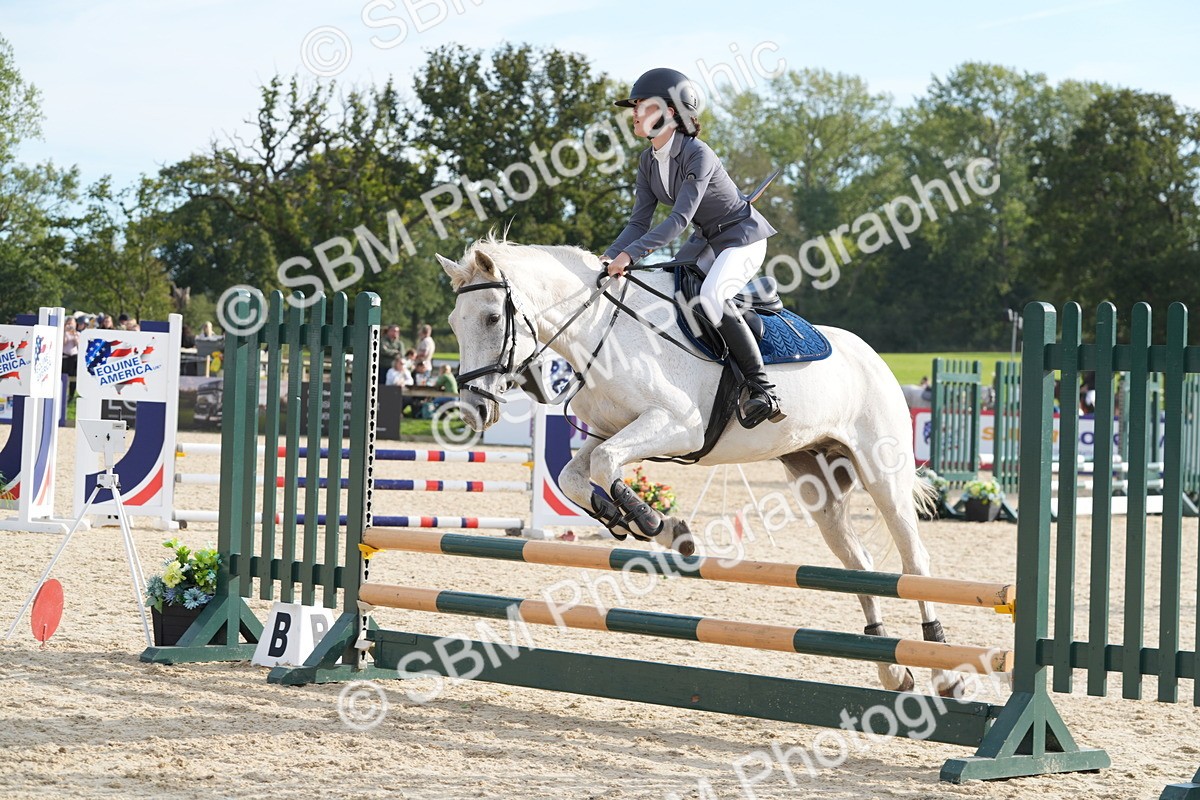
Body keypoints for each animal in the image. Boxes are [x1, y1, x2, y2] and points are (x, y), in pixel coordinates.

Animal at [437, 236, 956, 694]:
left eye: (491, 317)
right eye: (454, 323)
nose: (474, 410)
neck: (602, 328)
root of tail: (875, 359)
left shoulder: (677, 424)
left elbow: (604, 464)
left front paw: (649, 519)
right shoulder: (611, 430)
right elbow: (575, 475)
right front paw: (643, 523)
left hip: (882, 473)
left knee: (914, 561)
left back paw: (942, 669)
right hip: (816, 481)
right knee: (860, 565)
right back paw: (892, 669)